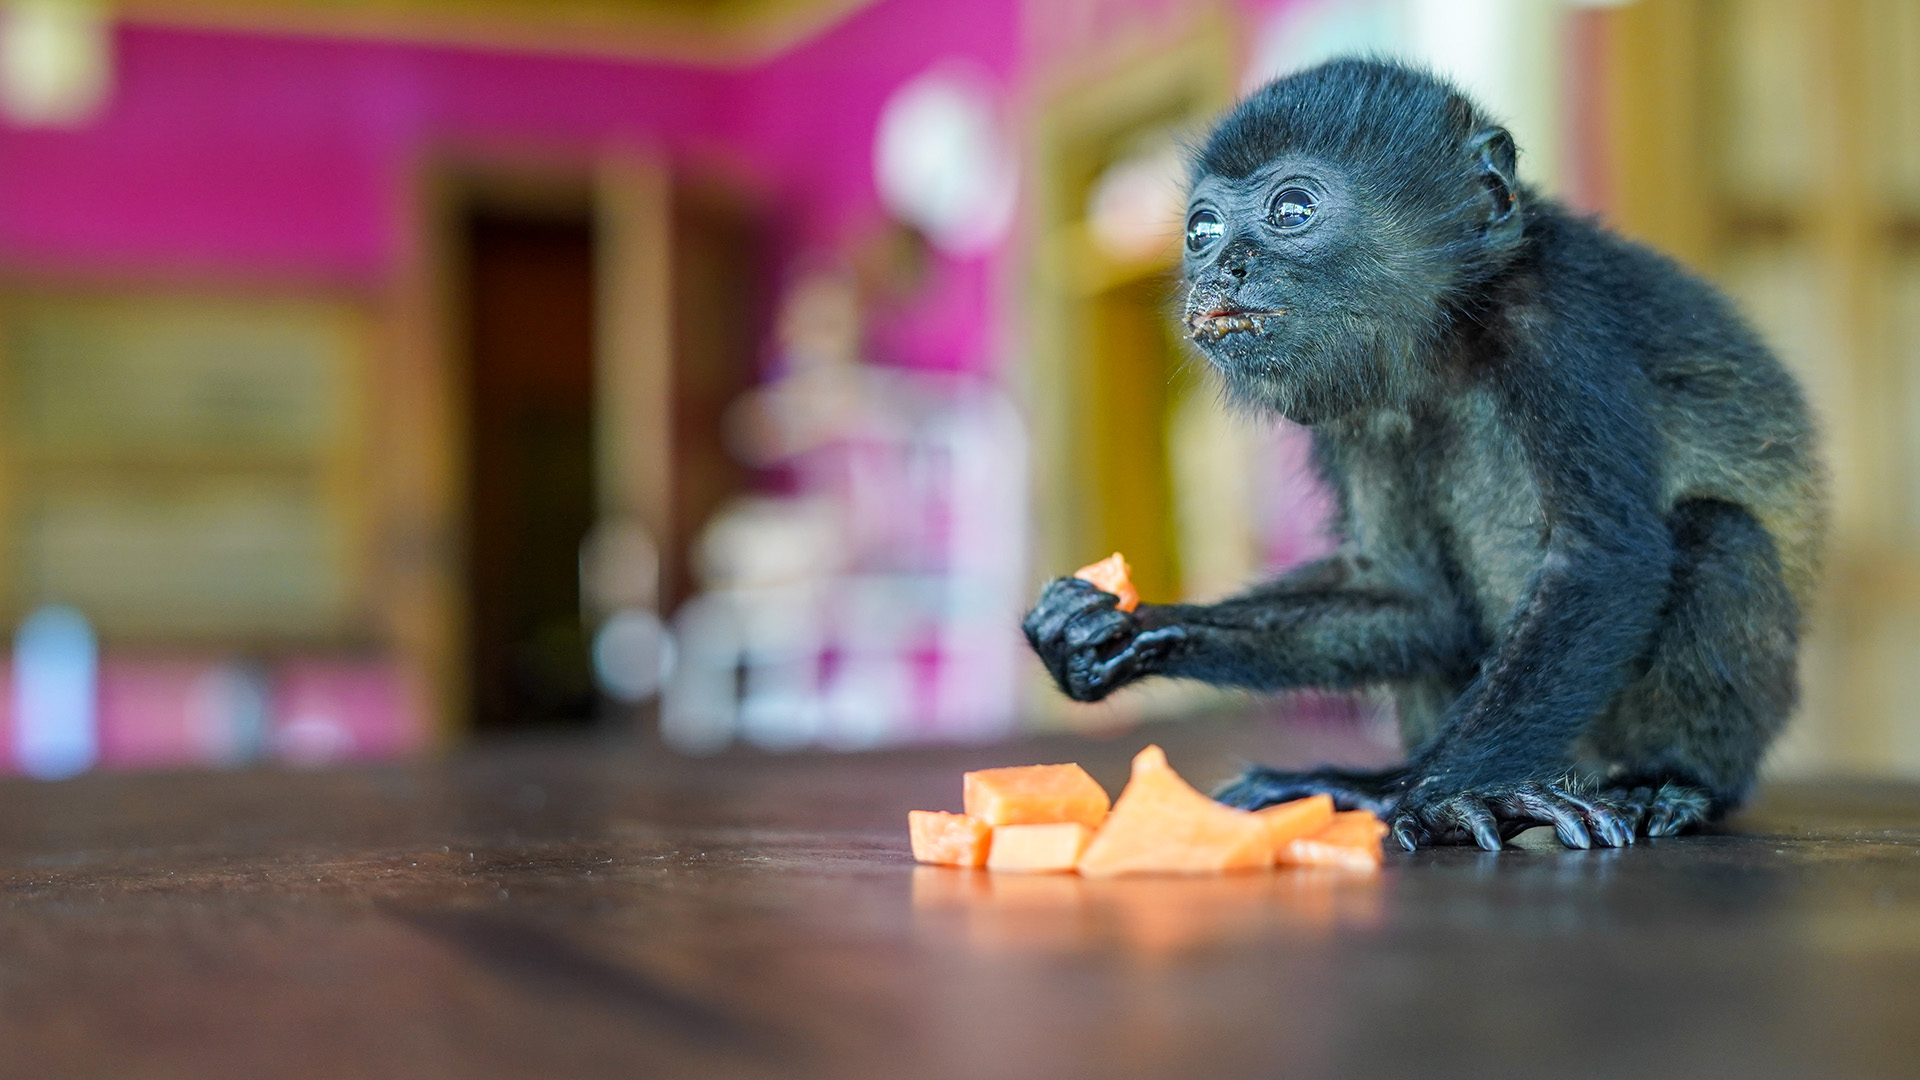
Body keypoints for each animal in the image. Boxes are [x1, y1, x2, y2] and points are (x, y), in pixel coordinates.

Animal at [1022, 59, 1826, 852]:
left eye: (1292, 210)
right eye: (1203, 229)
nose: (1219, 267)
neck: (1449, 343)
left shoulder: (1562, 323)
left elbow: (1605, 557)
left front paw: (1435, 796)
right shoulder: (1355, 416)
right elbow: (1411, 595)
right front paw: (1120, 630)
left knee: (1720, 536)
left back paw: (1667, 782)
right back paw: (1355, 785)